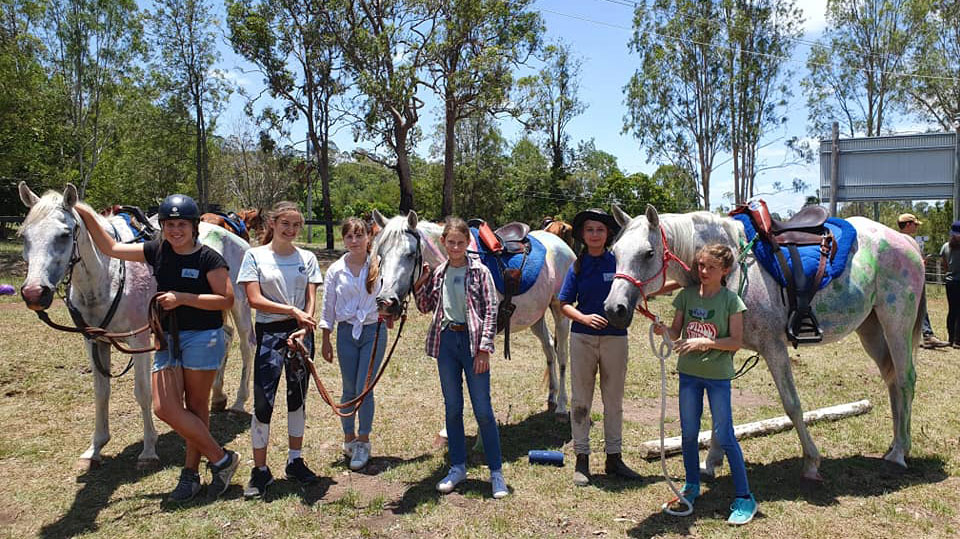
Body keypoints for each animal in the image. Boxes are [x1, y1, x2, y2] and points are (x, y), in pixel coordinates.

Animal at [372, 212, 572, 418]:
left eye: (411, 254)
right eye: (381, 254)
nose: (386, 302)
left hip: (560, 312)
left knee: (562, 356)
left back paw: (562, 406)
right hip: (536, 316)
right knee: (549, 347)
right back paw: (552, 397)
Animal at [604, 206, 928, 480]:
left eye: (648, 253)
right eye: (615, 252)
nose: (613, 309)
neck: (733, 267)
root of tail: (906, 242)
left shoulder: (774, 348)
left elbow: (792, 404)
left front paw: (811, 462)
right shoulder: (726, 347)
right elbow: (721, 411)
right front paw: (711, 463)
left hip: (896, 323)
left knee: (906, 380)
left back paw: (899, 452)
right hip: (872, 330)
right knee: (892, 380)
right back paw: (896, 445)